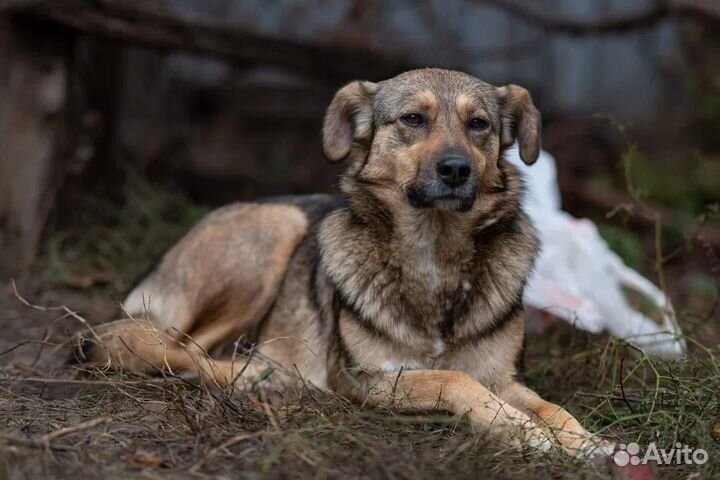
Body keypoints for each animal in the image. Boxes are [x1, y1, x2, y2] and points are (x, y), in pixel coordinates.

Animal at [74, 68, 612, 458]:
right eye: (413, 119)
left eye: (478, 124)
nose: (457, 169)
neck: (434, 252)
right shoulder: (367, 379)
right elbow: (451, 379)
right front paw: (525, 433)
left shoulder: (503, 379)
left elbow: (553, 408)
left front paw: (589, 443)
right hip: (275, 227)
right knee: (172, 349)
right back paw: (267, 380)